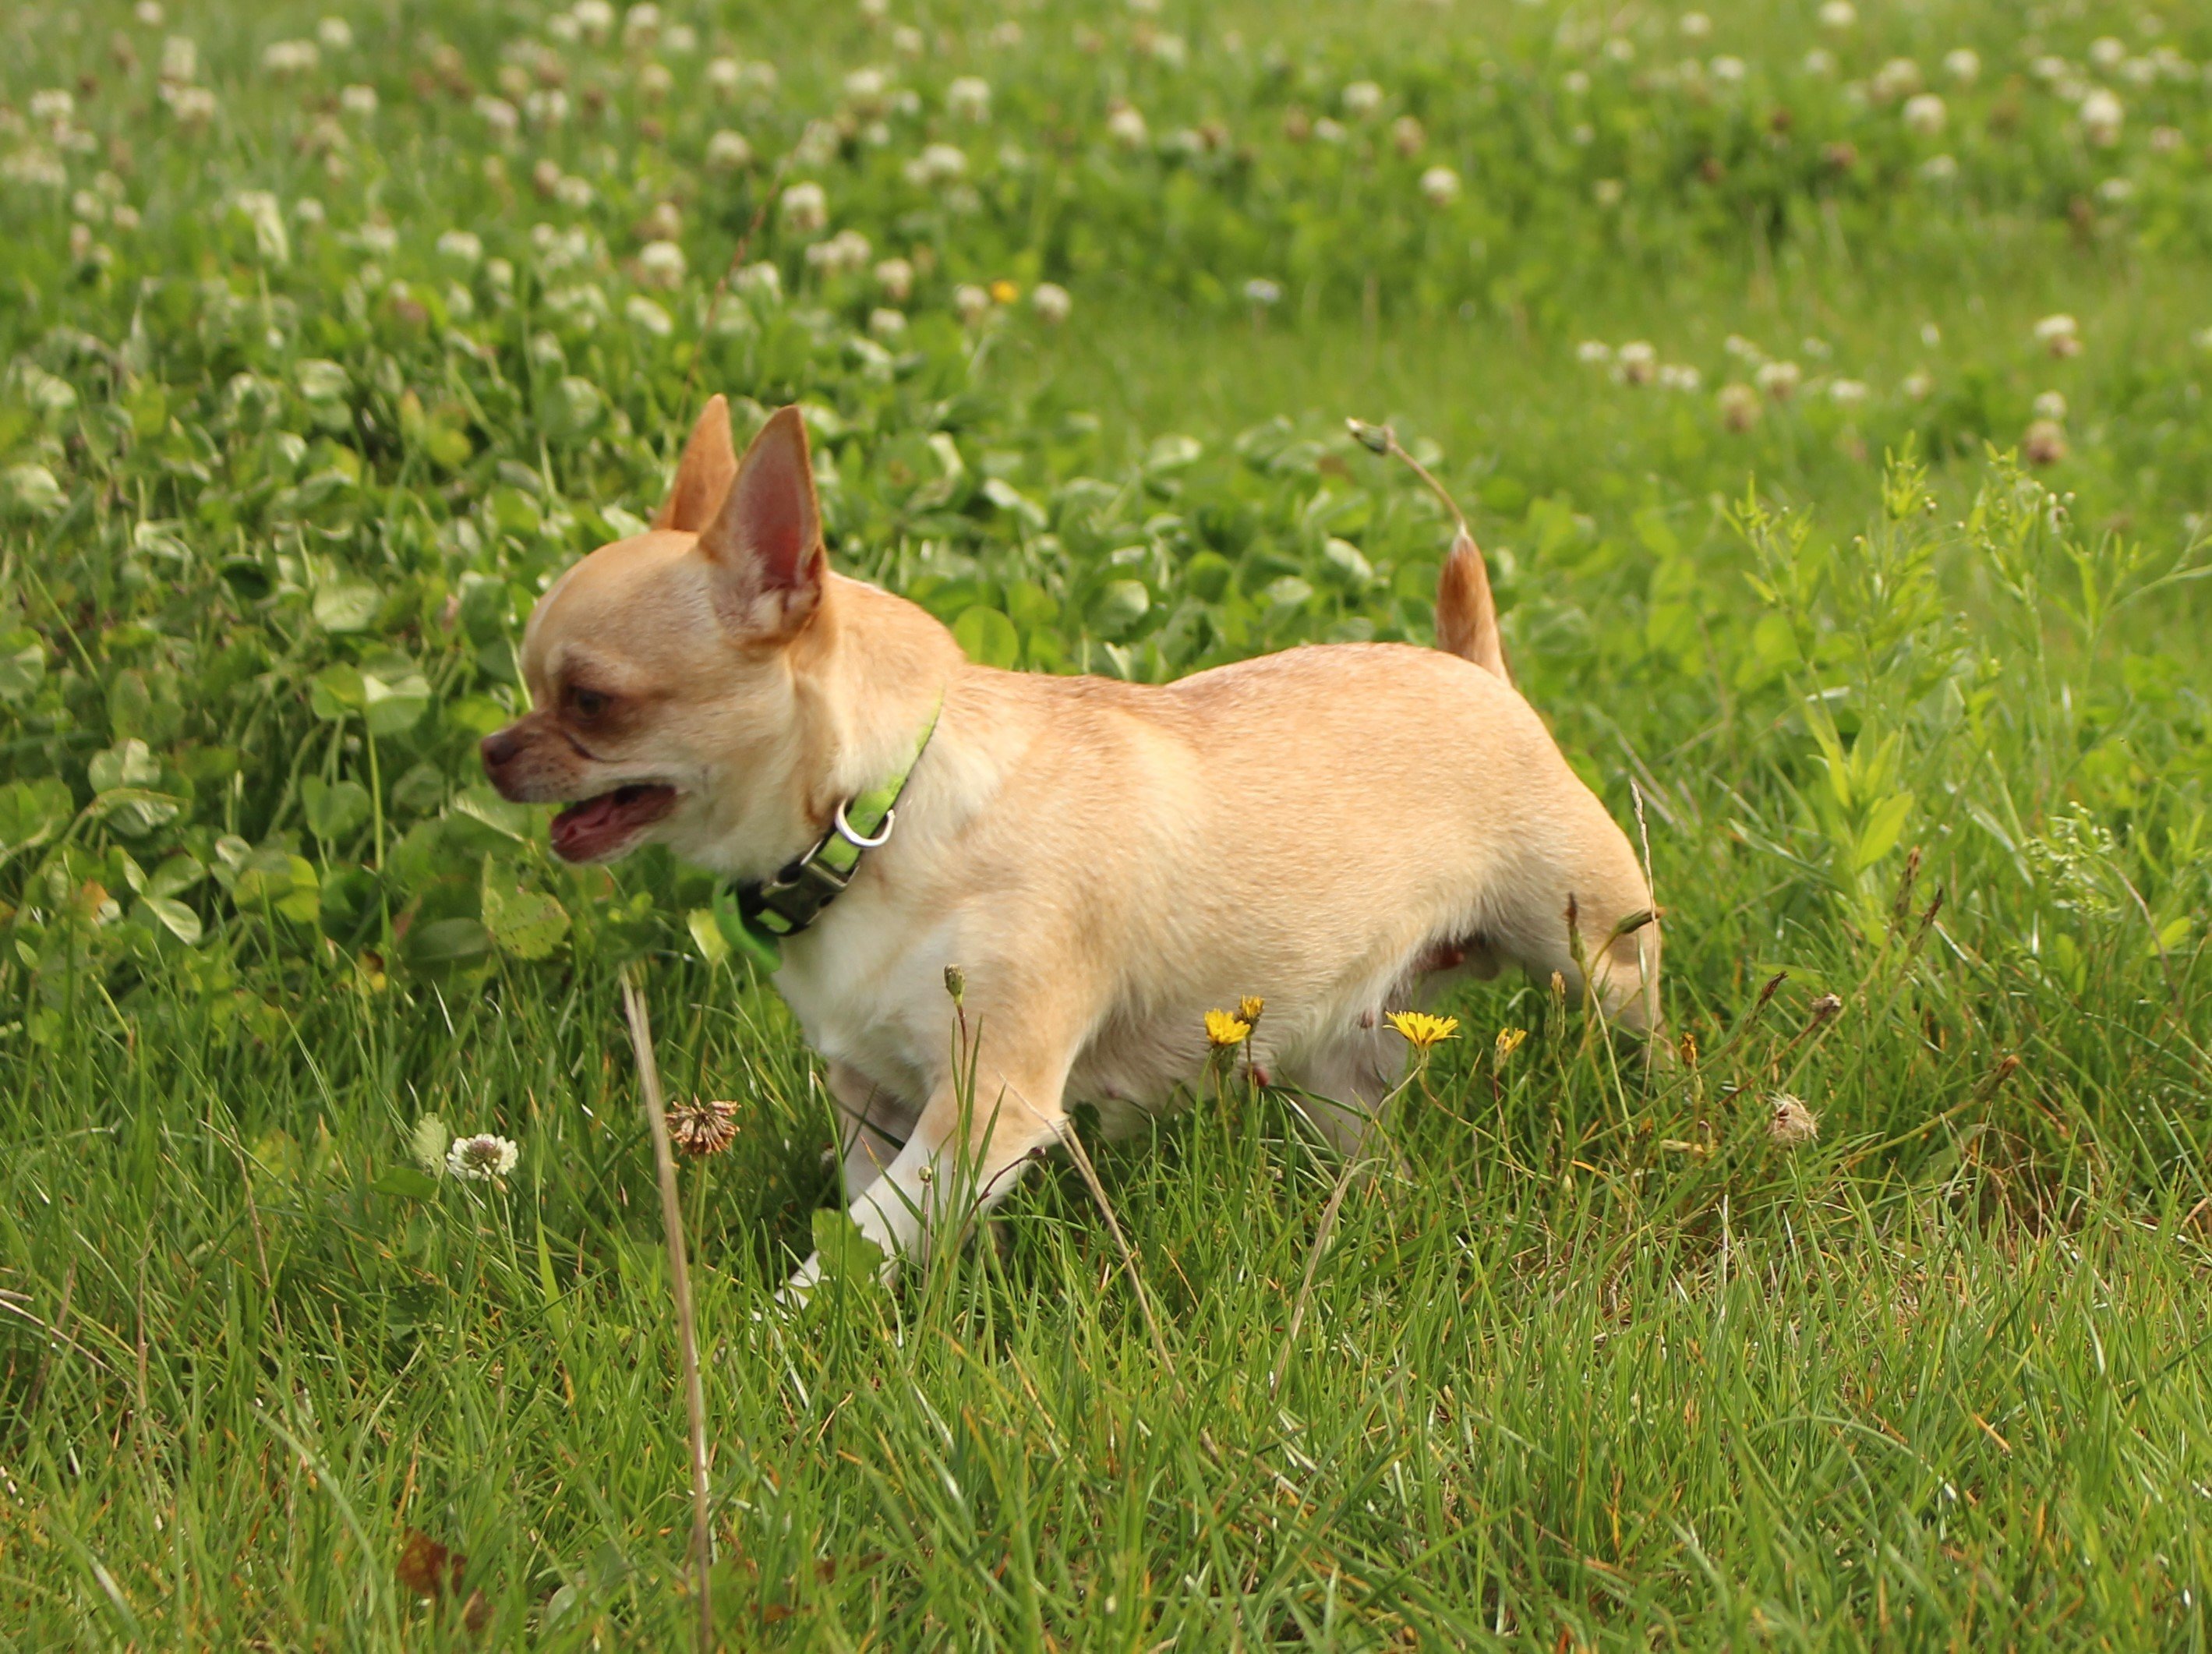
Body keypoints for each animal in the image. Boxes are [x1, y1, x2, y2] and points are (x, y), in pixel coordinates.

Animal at [484, 398, 1663, 1291]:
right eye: (530, 684)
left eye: (593, 702)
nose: (493, 749)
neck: (882, 812)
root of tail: (1475, 667)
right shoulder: (877, 1104)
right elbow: (866, 1221)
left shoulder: (986, 1107)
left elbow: (849, 1252)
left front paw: (780, 1331)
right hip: (1338, 1063)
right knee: (1364, 1139)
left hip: (1596, 955)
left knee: (1638, 1025)